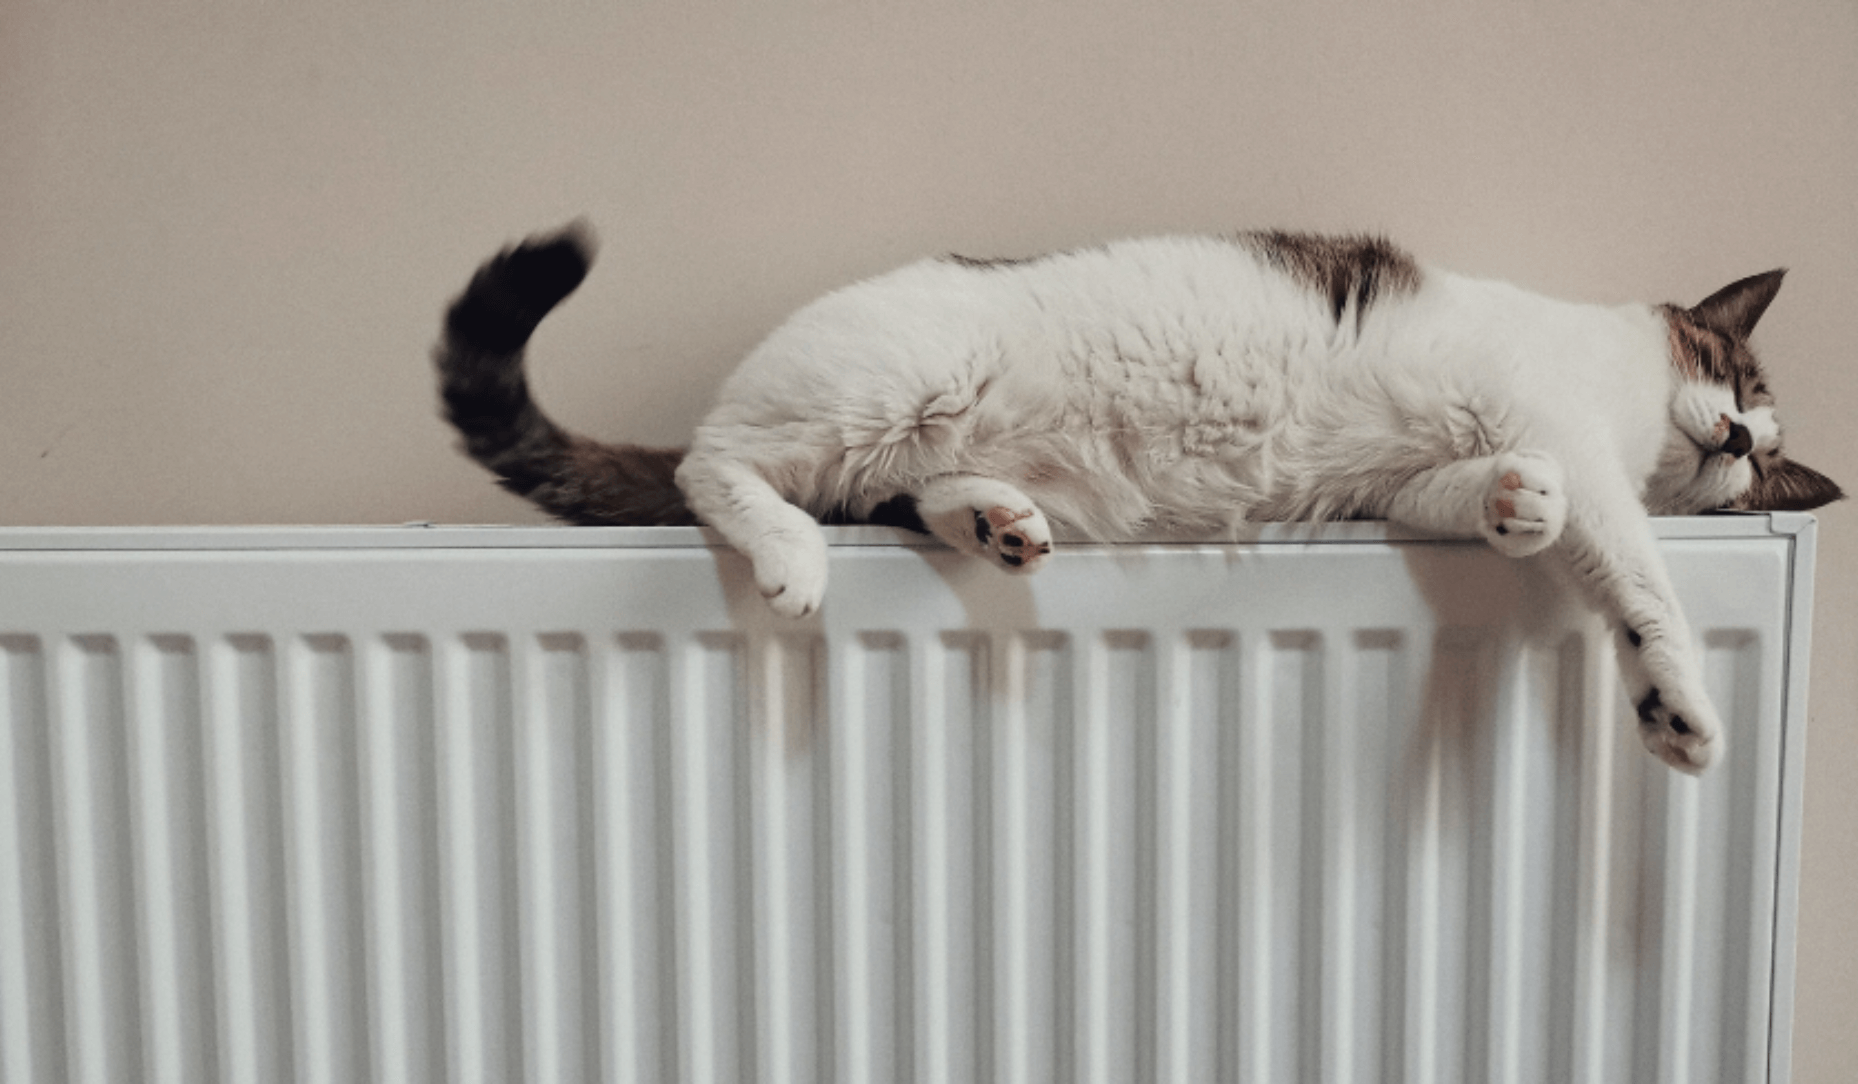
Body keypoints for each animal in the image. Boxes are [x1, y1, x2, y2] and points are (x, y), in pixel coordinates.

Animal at [438, 224, 1843, 777]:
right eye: (1735, 380)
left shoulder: (1410, 480)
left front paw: (1514, 508)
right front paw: (1676, 705)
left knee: (906, 494)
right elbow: (1638, 578)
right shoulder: (1581, 442)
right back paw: (788, 553)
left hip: (905, 446)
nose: (1733, 433)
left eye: (1757, 463)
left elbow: (1501, 497)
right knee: (712, 466)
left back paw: (995, 521)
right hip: (887, 384)